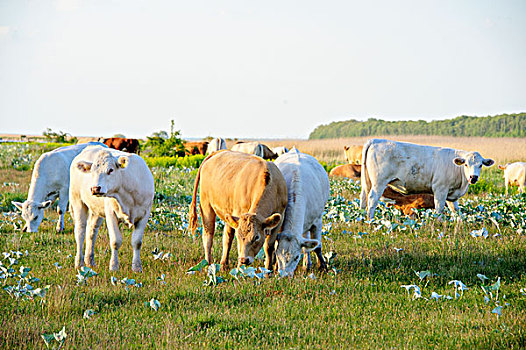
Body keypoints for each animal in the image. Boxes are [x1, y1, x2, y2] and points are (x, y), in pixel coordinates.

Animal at [272, 148, 330, 276]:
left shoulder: (317, 221)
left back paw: (307, 264)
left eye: (296, 257)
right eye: (278, 256)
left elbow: (317, 246)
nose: (285, 276)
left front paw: (322, 266)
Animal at [360, 139, 498, 219]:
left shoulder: (451, 195)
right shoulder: (440, 189)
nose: (473, 177)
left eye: (480, 165)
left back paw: (361, 218)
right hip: (379, 183)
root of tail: (376, 140)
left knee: (363, 198)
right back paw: (370, 220)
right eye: (466, 164)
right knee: (372, 199)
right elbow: (439, 208)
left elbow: (455, 210)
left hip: (367, 182)